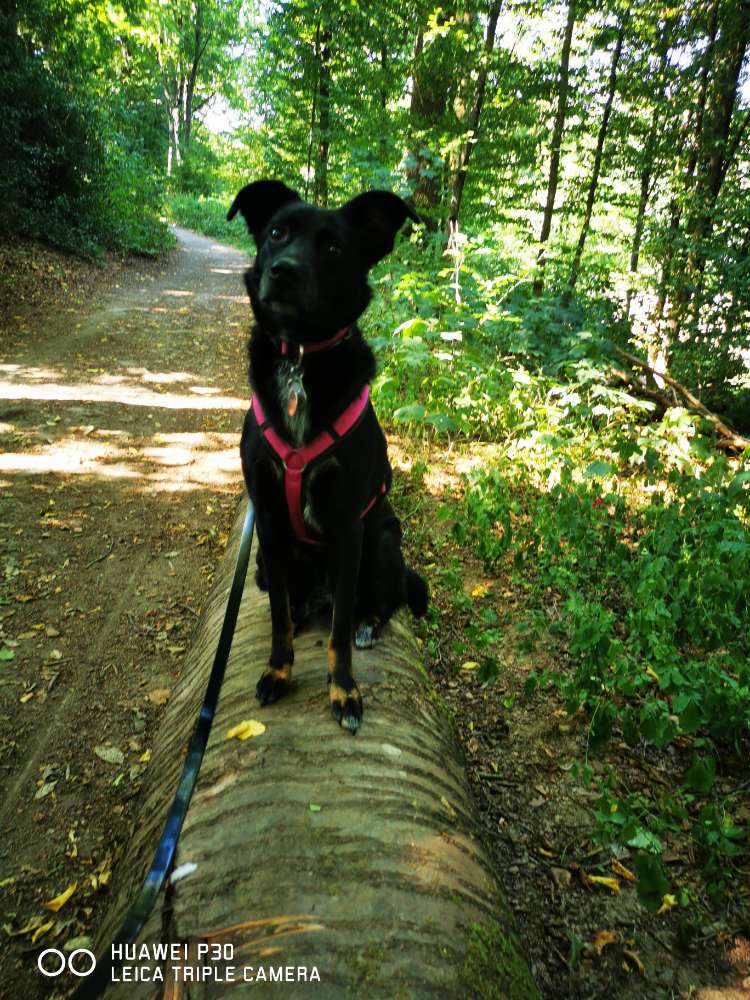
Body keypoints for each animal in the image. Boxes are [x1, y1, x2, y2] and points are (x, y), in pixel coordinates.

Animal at [226, 180, 428, 732]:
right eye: (277, 233)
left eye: (334, 248)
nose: (284, 271)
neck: (299, 358)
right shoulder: (270, 520)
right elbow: (277, 621)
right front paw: (278, 671)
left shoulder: (347, 524)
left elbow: (337, 635)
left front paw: (344, 692)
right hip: (270, 563)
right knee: (290, 603)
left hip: (382, 542)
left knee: (377, 603)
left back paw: (367, 625)